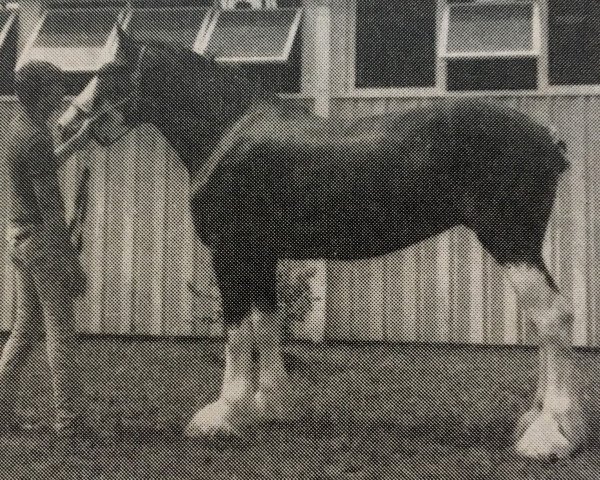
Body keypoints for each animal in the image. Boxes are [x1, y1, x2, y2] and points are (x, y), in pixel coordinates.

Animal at [56, 27, 584, 462]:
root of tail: (547, 137)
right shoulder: (260, 254)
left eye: (107, 72)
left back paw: (550, 436)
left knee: (552, 319)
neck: (227, 131)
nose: (64, 126)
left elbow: (237, 331)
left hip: (511, 242)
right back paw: (542, 422)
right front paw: (269, 407)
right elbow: (266, 325)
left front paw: (222, 414)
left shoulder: (232, 253)